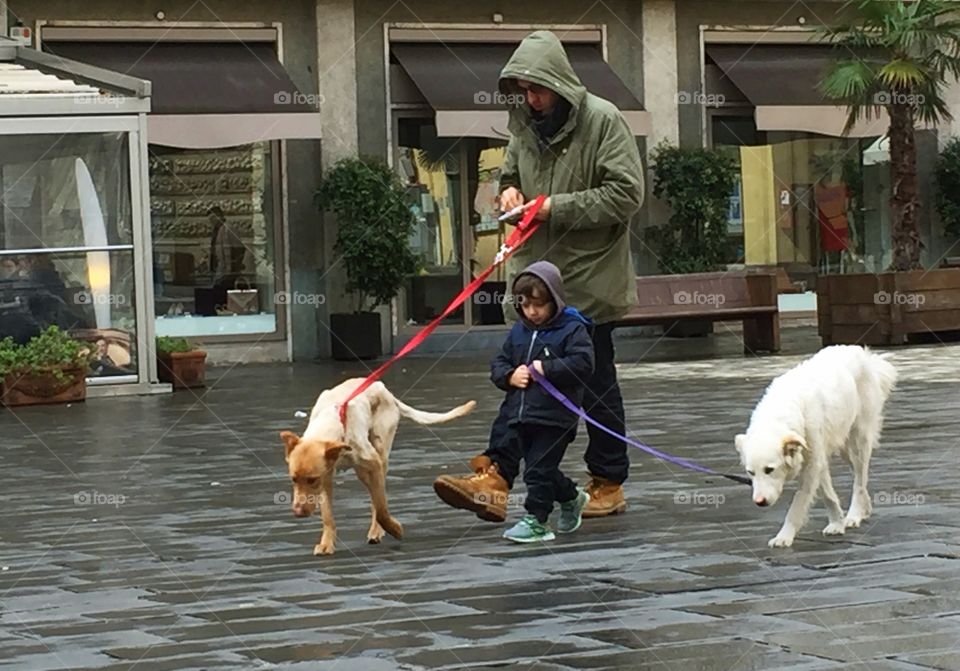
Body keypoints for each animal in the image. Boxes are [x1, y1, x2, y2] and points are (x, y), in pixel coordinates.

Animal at [280, 378, 474, 556]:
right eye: (293, 479)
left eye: (312, 480)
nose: (297, 512)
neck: (333, 422)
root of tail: (385, 390)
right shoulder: (326, 479)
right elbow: (328, 516)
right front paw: (327, 544)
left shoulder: (373, 465)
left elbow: (381, 508)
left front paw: (394, 529)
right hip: (363, 471)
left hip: (380, 454)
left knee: (377, 499)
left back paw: (377, 530)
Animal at [736, 350, 900, 548]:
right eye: (750, 473)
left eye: (769, 470)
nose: (759, 502)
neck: (781, 413)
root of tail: (864, 354)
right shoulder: (817, 460)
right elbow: (827, 495)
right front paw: (837, 523)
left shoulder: (812, 464)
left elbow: (797, 505)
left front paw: (784, 536)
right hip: (843, 447)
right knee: (860, 478)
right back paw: (864, 509)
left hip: (858, 442)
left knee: (860, 480)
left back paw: (854, 515)